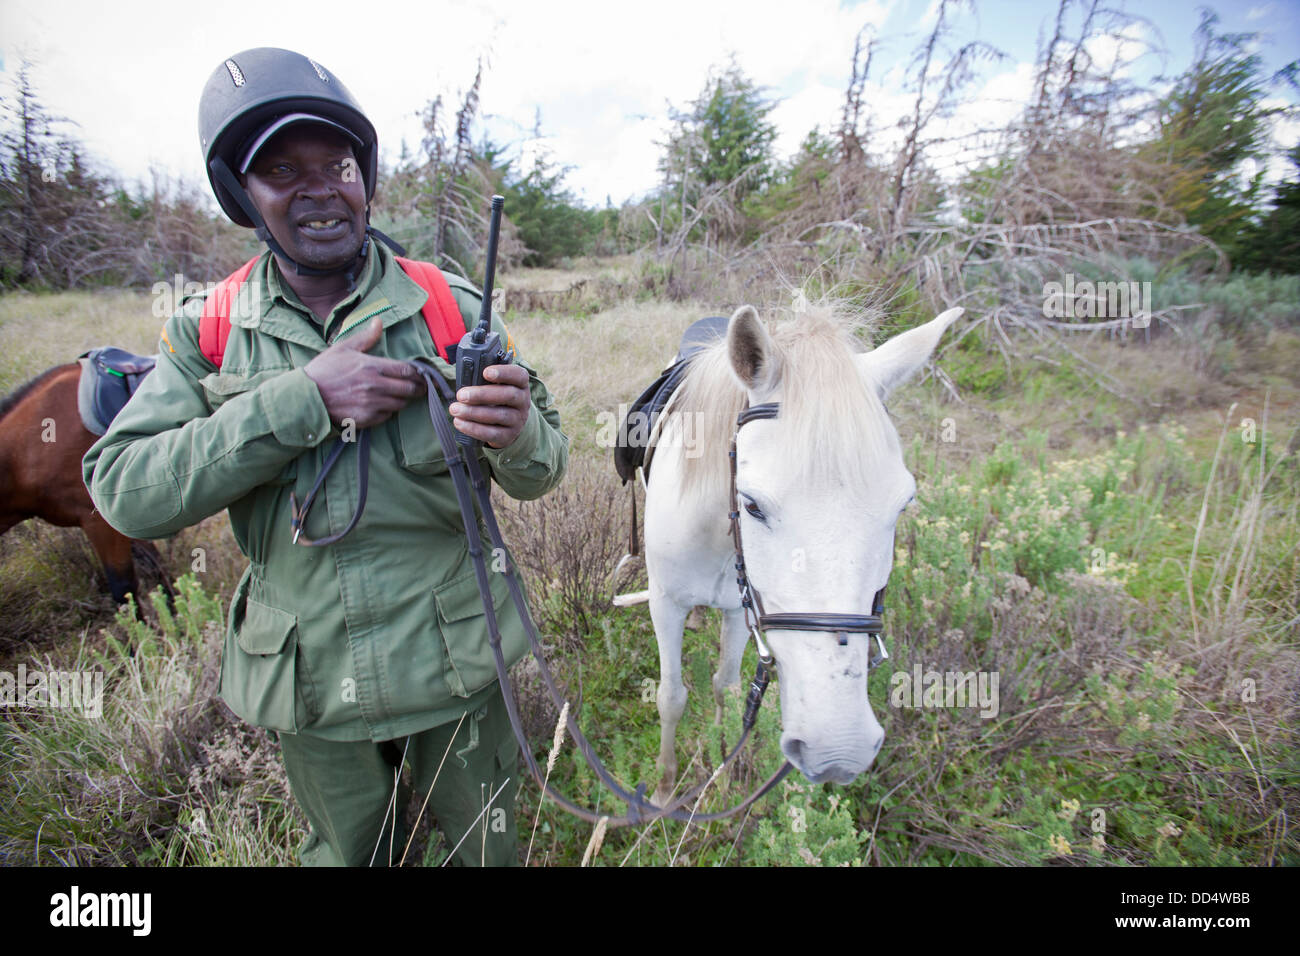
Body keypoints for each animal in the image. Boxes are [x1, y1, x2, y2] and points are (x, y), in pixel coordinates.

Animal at [644, 303, 961, 796]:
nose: (839, 751)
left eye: (903, 504)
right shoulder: (664, 604)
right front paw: (663, 790)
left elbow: (725, 688)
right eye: (752, 504)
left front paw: (722, 768)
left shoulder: (741, 607)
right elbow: (671, 697)